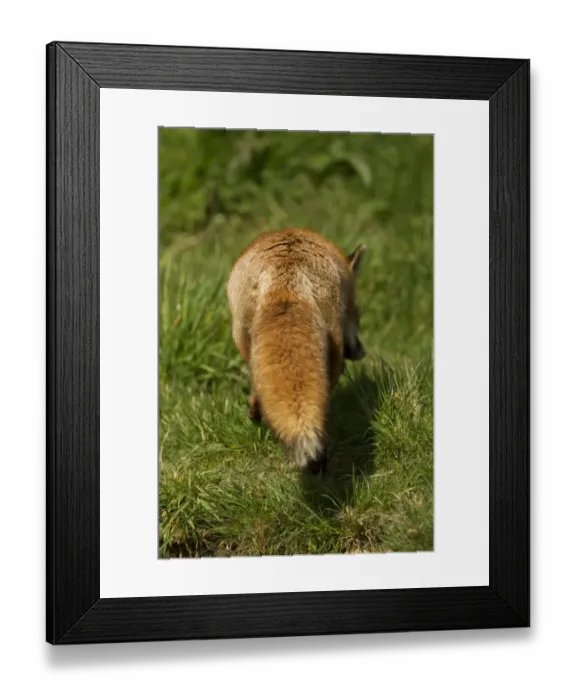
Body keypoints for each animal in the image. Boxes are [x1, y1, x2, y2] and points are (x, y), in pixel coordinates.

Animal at [226, 227, 366, 475]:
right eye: (356, 315)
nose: (361, 350)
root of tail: (288, 275)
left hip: (244, 340)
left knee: (258, 387)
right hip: (332, 354)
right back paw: (319, 465)